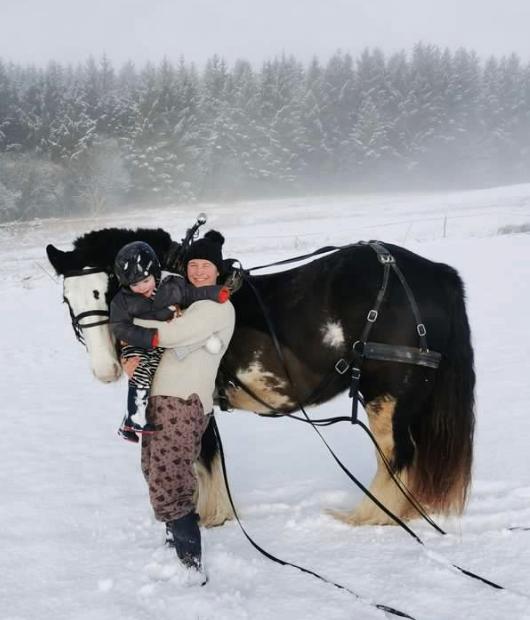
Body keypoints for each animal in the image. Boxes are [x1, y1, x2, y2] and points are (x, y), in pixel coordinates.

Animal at [46, 225, 475, 529]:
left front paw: (211, 516)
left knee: (396, 455)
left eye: (106, 289)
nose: (105, 369)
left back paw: (370, 516)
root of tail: (434, 273)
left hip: (387, 397)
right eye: (68, 298)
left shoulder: (192, 396)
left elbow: (204, 459)